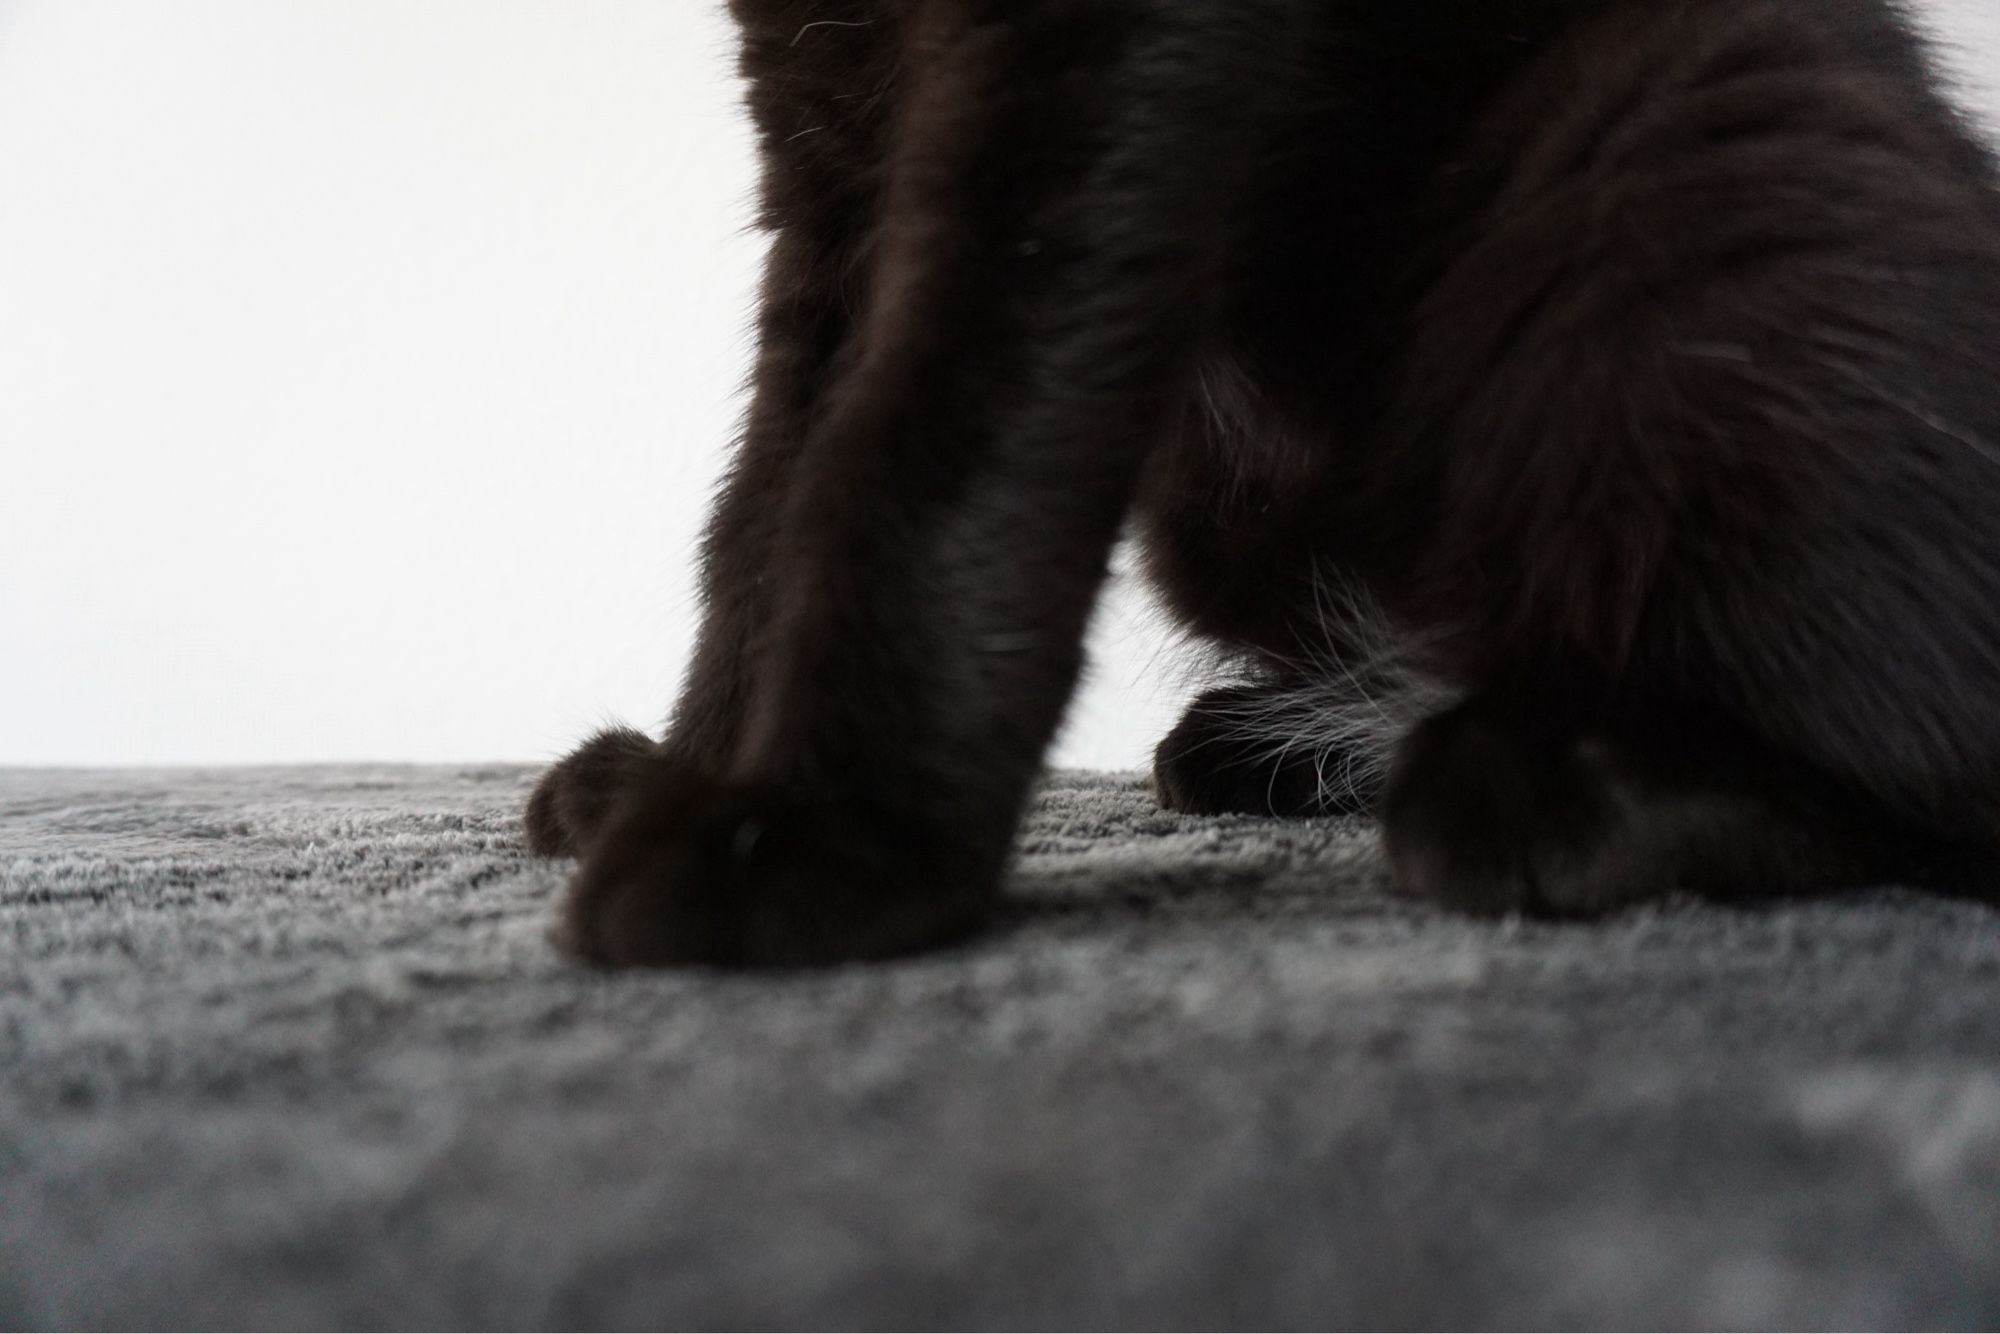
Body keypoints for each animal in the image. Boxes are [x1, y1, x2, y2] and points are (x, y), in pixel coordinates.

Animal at [524, 0, 2000, 964]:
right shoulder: (822, 111)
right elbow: (775, 480)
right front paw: (694, 768)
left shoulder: (1087, 61)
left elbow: (930, 433)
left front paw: (825, 830)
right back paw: (1279, 740)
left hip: (1678, 115)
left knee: (1932, 768)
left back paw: (1540, 783)